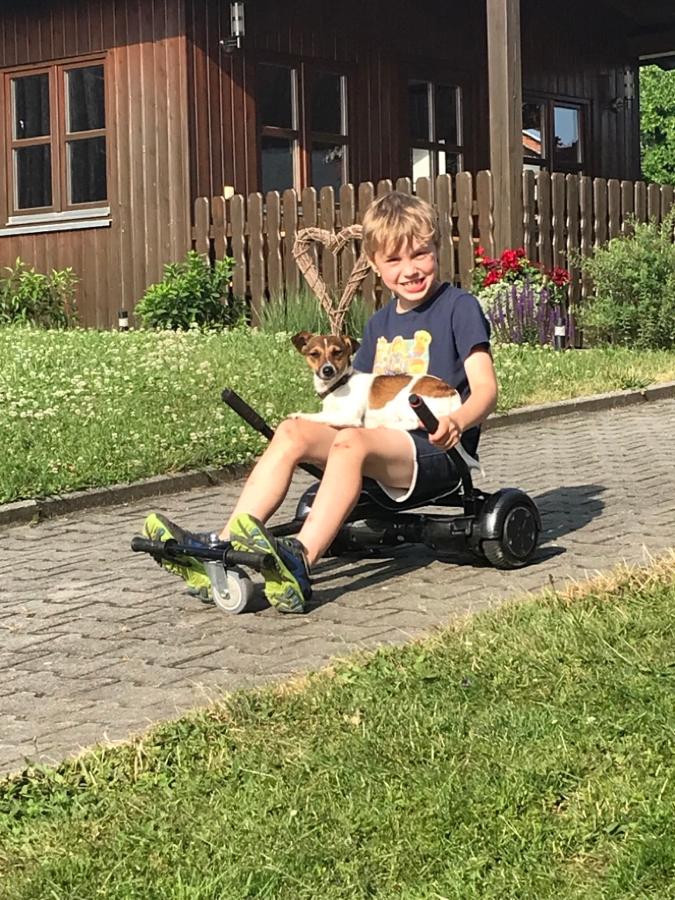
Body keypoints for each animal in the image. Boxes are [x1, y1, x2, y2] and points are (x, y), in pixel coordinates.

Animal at [290, 331, 481, 472]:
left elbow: (319, 416)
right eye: (314, 354)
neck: (339, 385)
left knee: (411, 423)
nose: (327, 370)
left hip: (407, 399)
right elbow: (324, 414)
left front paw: (298, 415)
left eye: (337, 352)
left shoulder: (349, 417)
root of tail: (451, 393)